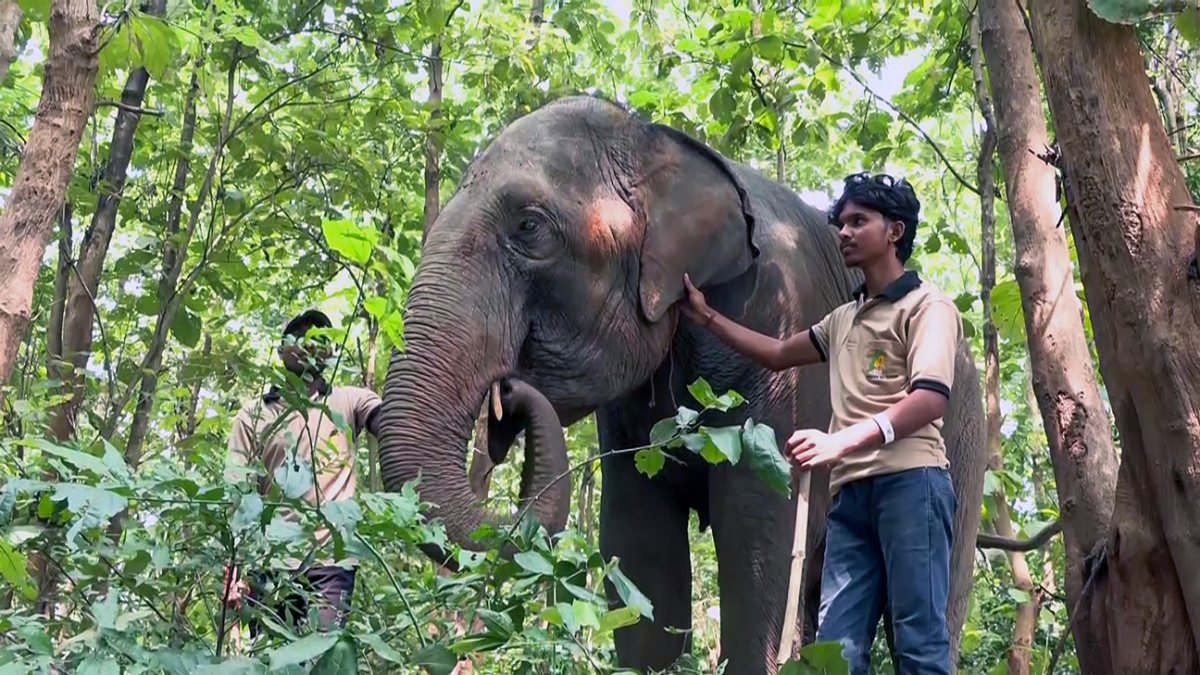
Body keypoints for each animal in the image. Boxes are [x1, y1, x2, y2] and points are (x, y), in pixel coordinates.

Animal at [375, 95, 985, 674]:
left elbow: (757, 535)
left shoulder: (781, 332)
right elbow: (640, 545)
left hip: (961, 446)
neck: (657, 144)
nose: (509, 395)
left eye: (528, 226)